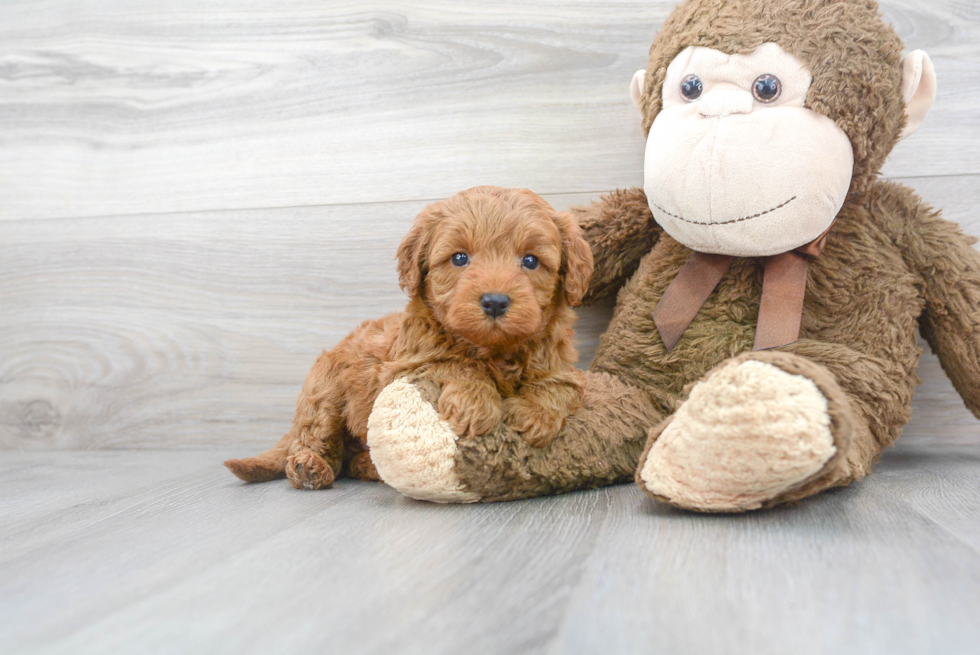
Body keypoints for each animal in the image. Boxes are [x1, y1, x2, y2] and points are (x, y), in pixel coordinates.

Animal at [226, 187, 592, 490]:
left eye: (530, 260)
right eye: (459, 258)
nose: (495, 302)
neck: (491, 349)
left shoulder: (561, 365)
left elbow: (557, 386)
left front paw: (534, 414)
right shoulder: (402, 368)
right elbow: (453, 364)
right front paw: (475, 401)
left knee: (348, 461)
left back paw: (368, 466)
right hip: (324, 392)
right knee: (316, 439)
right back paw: (309, 466)